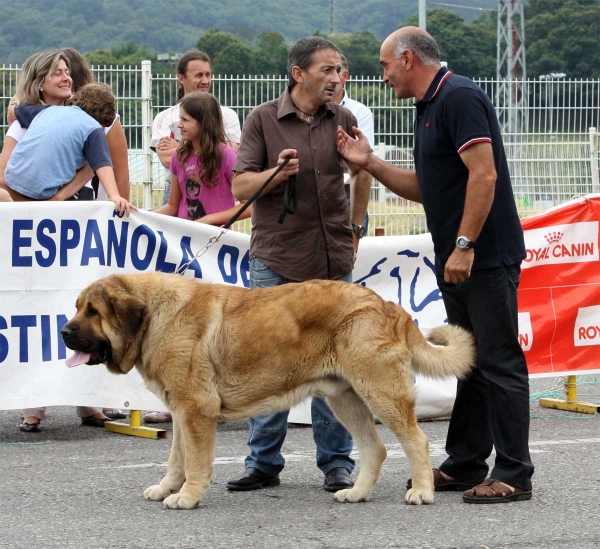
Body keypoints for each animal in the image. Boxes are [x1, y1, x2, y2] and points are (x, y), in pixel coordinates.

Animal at [61, 272, 474, 510]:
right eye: (78, 307)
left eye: (93, 311)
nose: (64, 332)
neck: (154, 317)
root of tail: (389, 306)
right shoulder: (180, 411)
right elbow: (176, 458)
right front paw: (167, 489)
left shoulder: (196, 410)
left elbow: (194, 462)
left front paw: (188, 497)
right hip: (346, 399)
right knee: (376, 448)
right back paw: (356, 493)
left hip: (380, 393)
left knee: (415, 441)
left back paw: (422, 492)